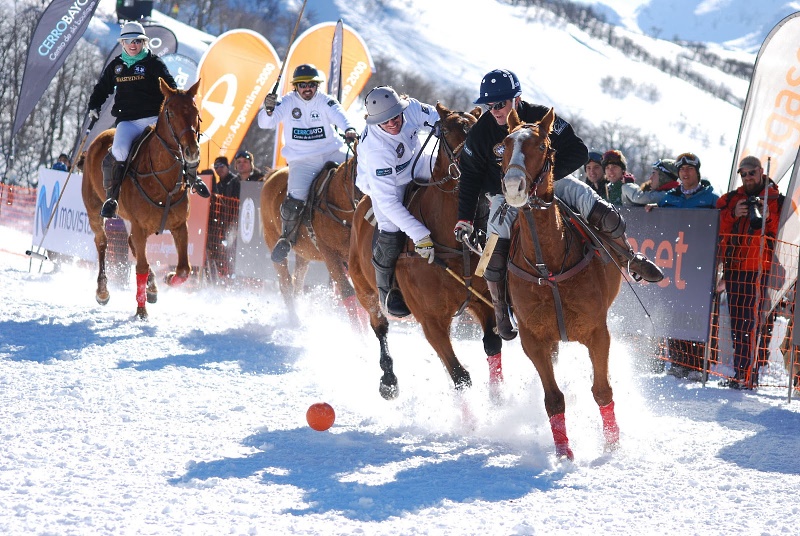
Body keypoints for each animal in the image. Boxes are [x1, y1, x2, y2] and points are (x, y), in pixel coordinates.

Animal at [81, 78, 202, 318]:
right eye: (170, 113)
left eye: (196, 111)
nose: (192, 151)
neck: (163, 177)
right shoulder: (139, 225)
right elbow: (141, 267)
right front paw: (140, 311)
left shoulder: (179, 225)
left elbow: (184, 269)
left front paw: (167, 278)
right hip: (94, 209)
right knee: (102, 242)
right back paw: (103, 292)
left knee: (131, 244)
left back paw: (153, 287)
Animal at [260, 151, 362, 326]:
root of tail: (273, 173)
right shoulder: (330, 255)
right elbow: (347, 291)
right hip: (271, 238)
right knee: (285, 283)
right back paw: (294, 320)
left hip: (304, 253)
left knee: (298, 282)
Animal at [350, 102, 506, 400]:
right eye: (445, 131)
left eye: (478, 129)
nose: (474, 169)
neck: (454, 242)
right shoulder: (431, 322)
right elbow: (460, 376)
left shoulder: (482, 302)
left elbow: (492, 345)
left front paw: (498, 401)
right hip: (365, 290)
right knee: (380, 327)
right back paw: (388, 380)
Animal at [504, 109, 620, 460]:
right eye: (503, 146)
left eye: (542, 146)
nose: (513, 186)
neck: (549, 263)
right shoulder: (534, 339)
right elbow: (553, 398)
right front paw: (564, 452)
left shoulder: (597, 332)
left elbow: (602, 390)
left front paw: (612, 444)